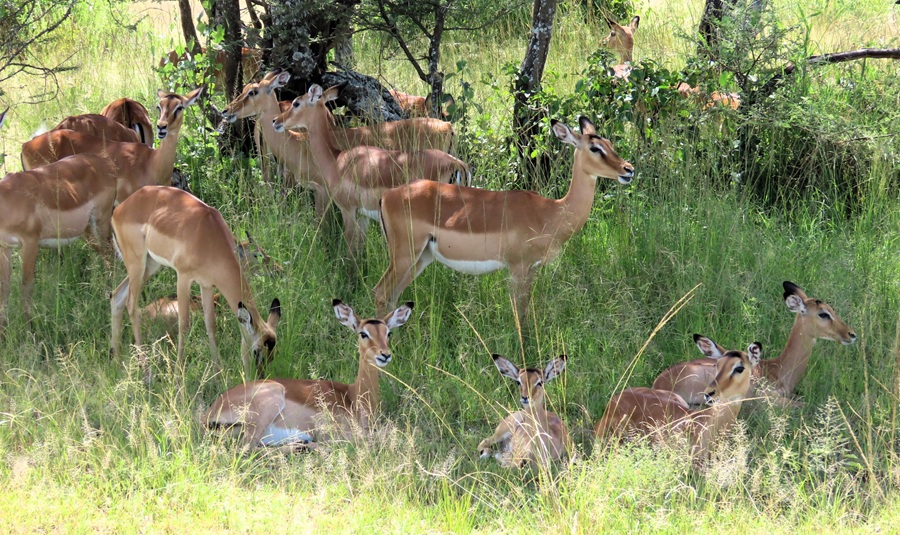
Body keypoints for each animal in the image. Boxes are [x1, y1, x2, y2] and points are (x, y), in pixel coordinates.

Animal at [0, 109, 118, 324]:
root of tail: (107, 162)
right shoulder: (4, 246)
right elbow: (4, 287)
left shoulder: (30, 242)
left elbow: (26, 283)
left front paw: (29, 325)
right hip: (87, 229)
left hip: (101, 220)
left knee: (109, 253)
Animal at [109, 186, 281, 377]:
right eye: (256, 351)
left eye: (273, 354)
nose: (260, 376)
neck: (210, 236)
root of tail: (119, 209)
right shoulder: (183, 277)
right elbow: (184, 326)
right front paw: (178, 377)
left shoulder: (206, 284)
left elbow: (210, 325)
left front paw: (217, 375)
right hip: (137, 264)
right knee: (131, 305)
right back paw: (146, 371)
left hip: (150, 264)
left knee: (116, 296)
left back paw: (115, 362)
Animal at [204, 300, 413, 450]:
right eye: (363, 333)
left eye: (388, 333)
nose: (384, 355)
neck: (354, 398)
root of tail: (211, 412)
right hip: (269, 404)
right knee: (248, 449)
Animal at [373, 117, 634, 320]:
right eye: (595, 148)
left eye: (610, 144)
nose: (628, 169)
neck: (550, 212)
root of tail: (387, 195)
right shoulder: (518, 268)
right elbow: (520, 313)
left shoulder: (532, 269)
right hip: (405, 255)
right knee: (381, 293)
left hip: (421, 258)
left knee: (392, 297)